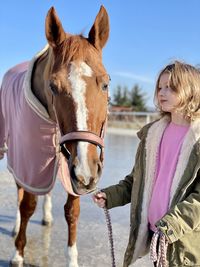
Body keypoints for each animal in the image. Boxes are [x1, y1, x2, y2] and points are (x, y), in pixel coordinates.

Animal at [0, 5, 109, 266]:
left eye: (105, 84)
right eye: (52, 86)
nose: (87, 172)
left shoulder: (73, 168)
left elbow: (72, 212)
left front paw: (72, 260)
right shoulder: (30, 163)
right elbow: (27, 205)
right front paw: (18, 253)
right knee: (19, 193)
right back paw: (16, 227)